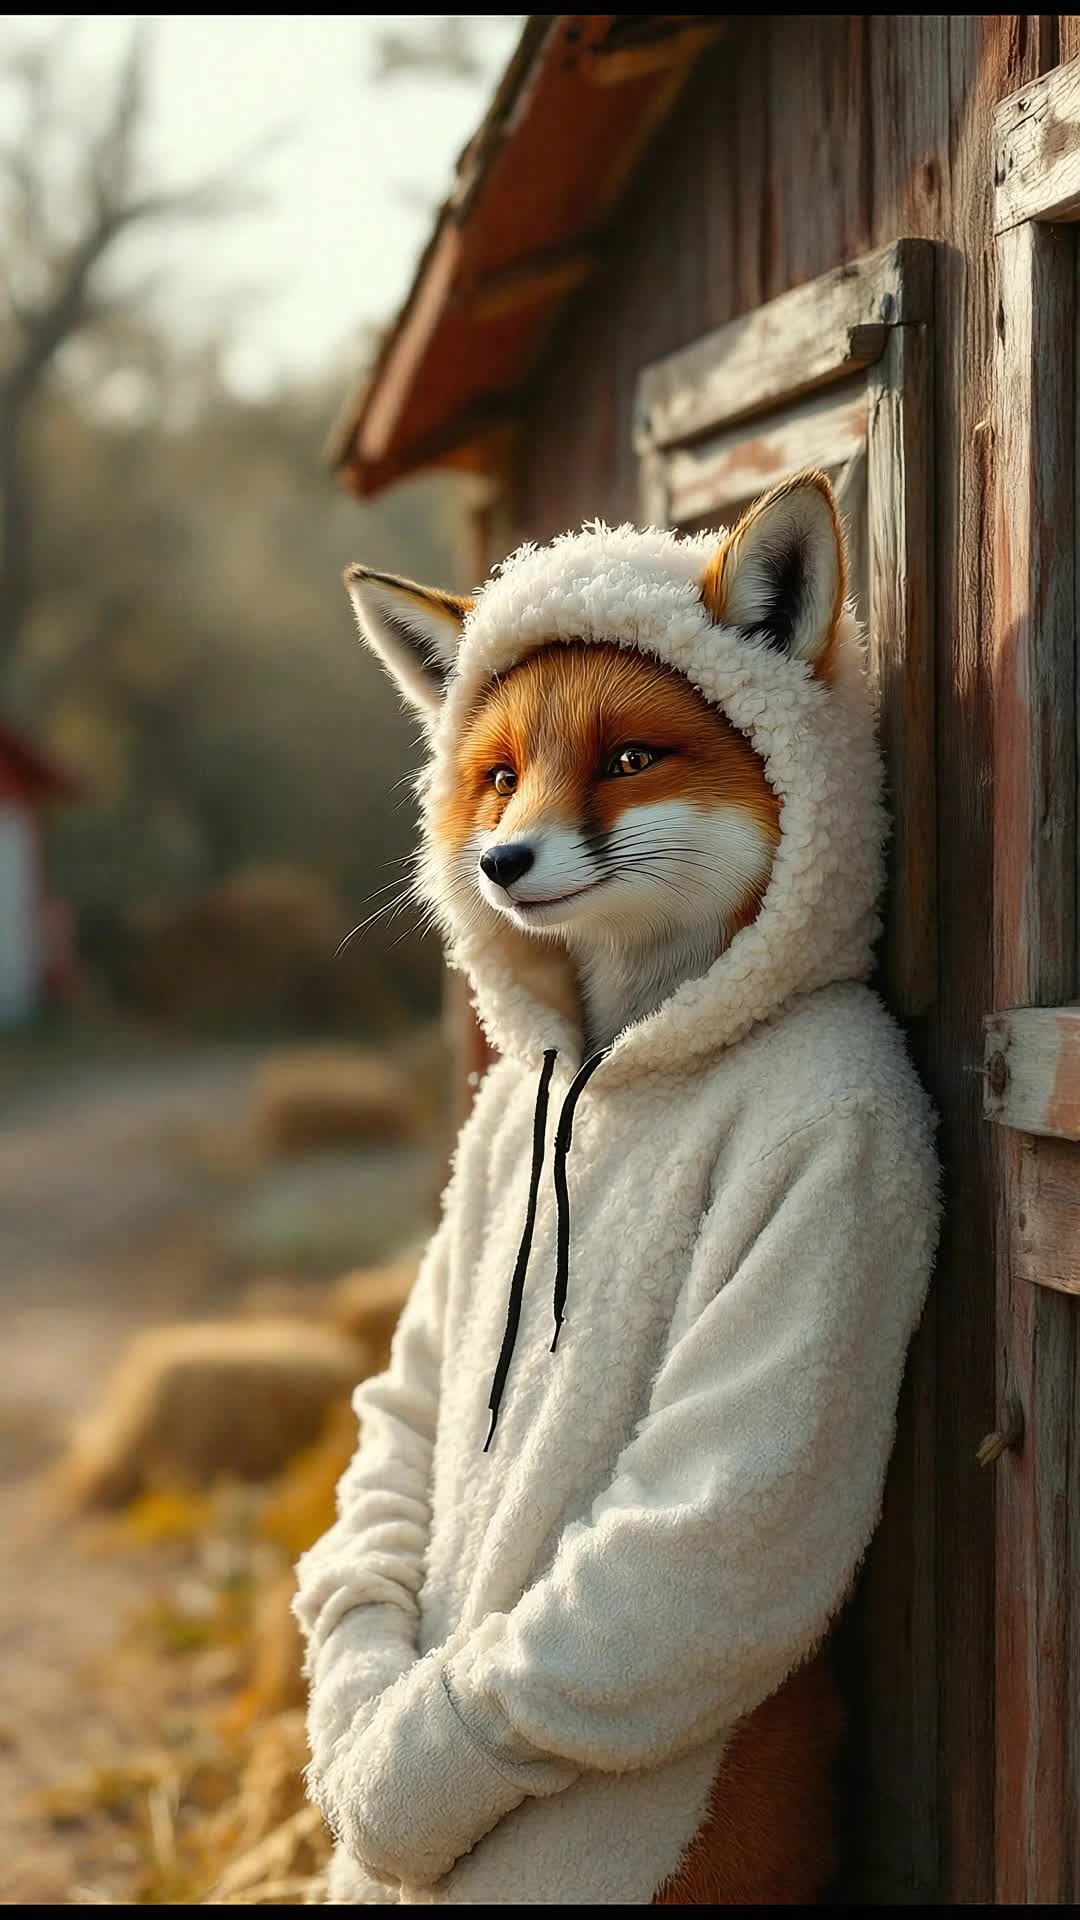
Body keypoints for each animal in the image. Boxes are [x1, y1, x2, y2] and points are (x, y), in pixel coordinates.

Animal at [295, 475, 938, 1907]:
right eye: (497, 777)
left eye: (630, 760)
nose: (500, 863)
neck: (610, 1064)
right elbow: (397, 1439)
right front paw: (359, 1758)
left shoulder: (850, 1160)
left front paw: (392, 1784)